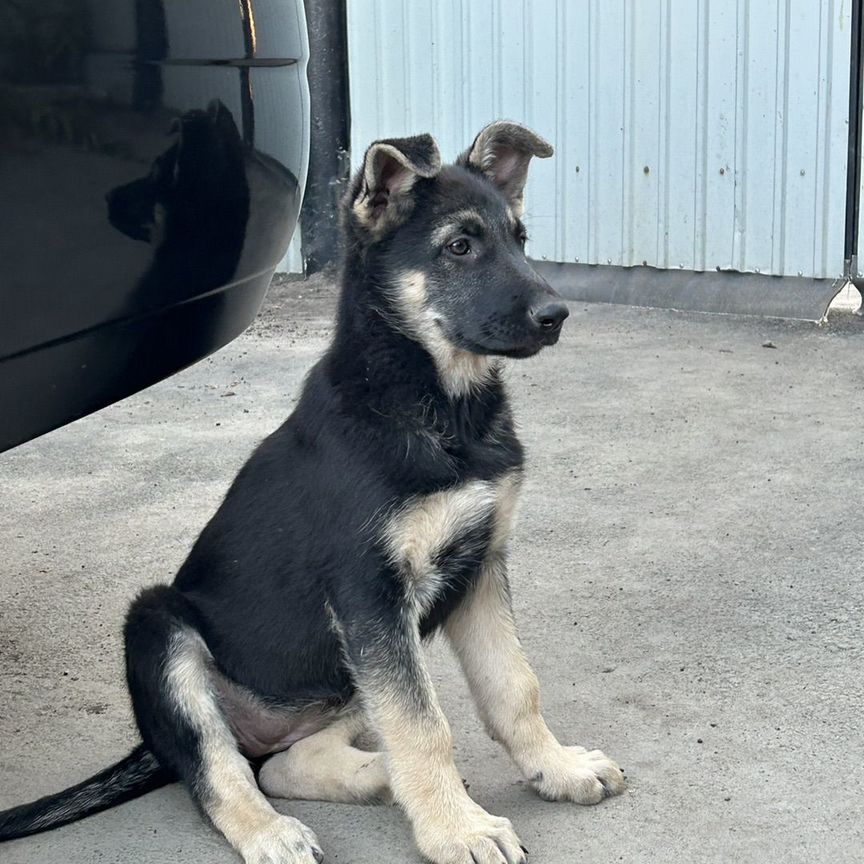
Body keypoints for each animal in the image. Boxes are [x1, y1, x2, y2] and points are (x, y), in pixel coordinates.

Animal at [0, 123, 624, 864]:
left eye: (520, 240)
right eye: (459, 246)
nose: (557, 315)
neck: (435, 408)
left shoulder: (478, 567)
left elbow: (513, 689)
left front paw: (557, 769)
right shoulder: (370, 594)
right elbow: (424, 725)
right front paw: (458, 828)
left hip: (344, 679)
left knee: (286, 762)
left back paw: (377, 776)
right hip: (159, 628)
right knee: (218, 768)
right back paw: (271, 831)